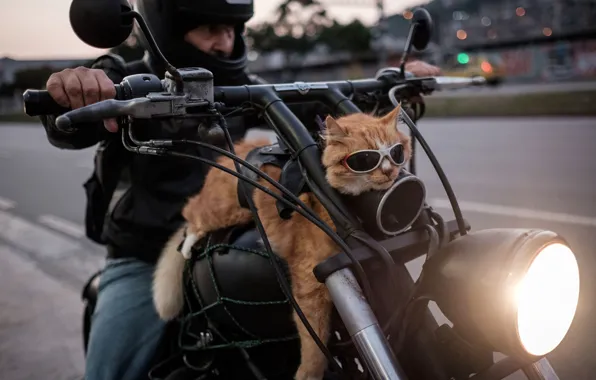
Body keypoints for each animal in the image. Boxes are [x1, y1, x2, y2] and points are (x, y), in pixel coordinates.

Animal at [152, 104, 410, 380]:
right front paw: (308, 374)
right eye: (363, 160)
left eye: (397, 151)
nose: (390, 172)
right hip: (224, 210)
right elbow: (314, 345)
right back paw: (189, 242)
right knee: (191, 212)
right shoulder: (311, 284)